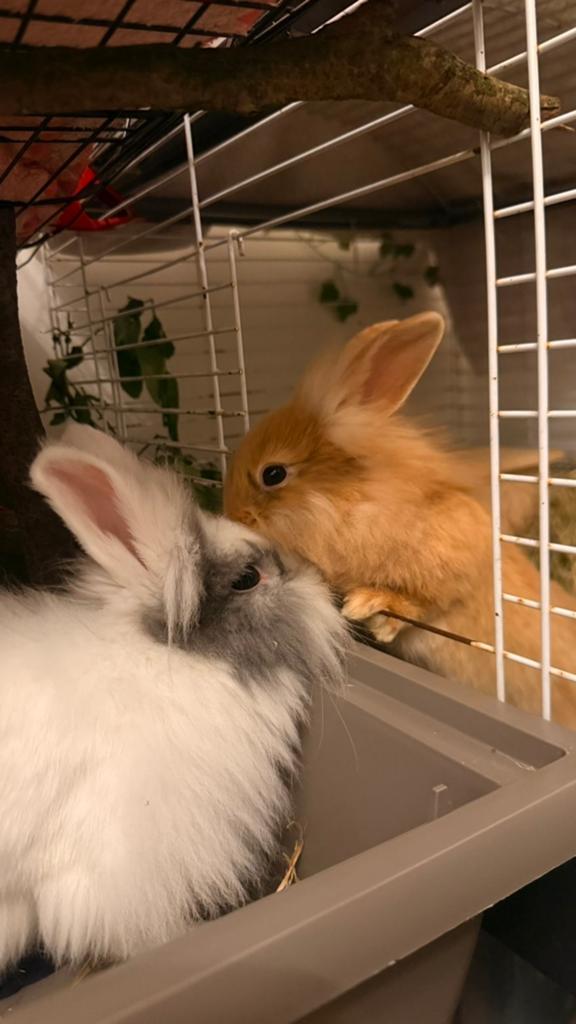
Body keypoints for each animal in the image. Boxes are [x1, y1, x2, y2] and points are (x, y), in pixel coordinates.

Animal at [224, 311, 576, 729]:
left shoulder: (450, 571)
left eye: (273, 474)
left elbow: (419, 602)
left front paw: (367, 607)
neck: (356, 503)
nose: (231, 514)